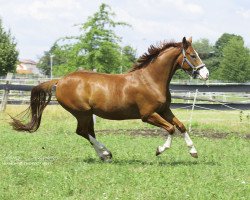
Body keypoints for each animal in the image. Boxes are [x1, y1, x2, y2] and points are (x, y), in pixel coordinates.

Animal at [10, 36, 209, 161]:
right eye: (193, 55)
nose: (206, 74)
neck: (150, 80)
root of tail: (60, 81)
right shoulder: (148, 115)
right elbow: (170, 129)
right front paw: (159, 150)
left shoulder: (164, 110)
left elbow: (181, 126)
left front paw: (194, 152)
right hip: (81, 112)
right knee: (82, 132)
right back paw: (106, 154)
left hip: (87, 114)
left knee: (87, 132)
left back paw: (104, 154)